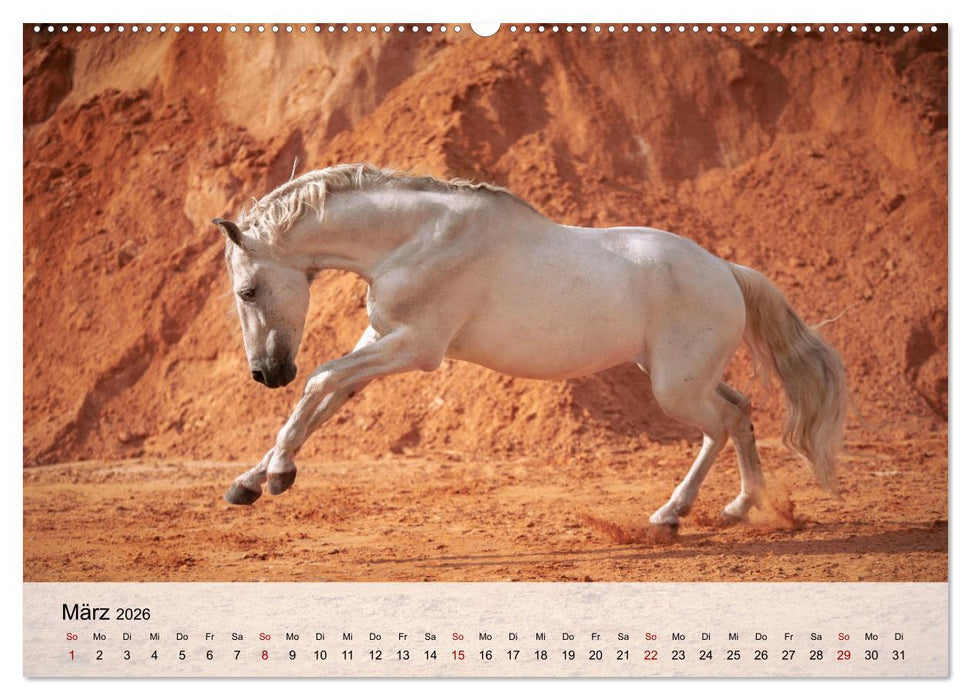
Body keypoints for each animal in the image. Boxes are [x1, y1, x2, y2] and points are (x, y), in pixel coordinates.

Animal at [212, 163, 846, 529]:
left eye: (247, 290)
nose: (266, 373)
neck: (415, 238)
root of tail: (727, 271)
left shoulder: (416, 348)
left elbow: (319, 380)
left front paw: (279, 476)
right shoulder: (381, 339)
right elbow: (323, 402)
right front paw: (247, 483)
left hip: (676, 389)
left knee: (721, 424)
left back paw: (673, 513)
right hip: (684, 375)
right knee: (740, 410)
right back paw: (739, 507)